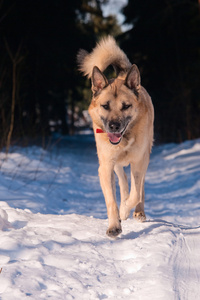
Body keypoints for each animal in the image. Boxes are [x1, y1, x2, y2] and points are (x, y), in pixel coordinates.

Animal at [77, 36, 154, 237]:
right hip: (117, 165)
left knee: (140, 188)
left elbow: (136, 193)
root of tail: (122, 75)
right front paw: (114, 225)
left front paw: (125, 210)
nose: (113, 126)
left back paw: (138, 212)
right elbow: (112, 200)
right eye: (105, 106)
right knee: (123, 180)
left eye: (126, 106)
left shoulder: (138, 162)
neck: (124, 140)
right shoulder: (105, 167)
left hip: (145, 157)